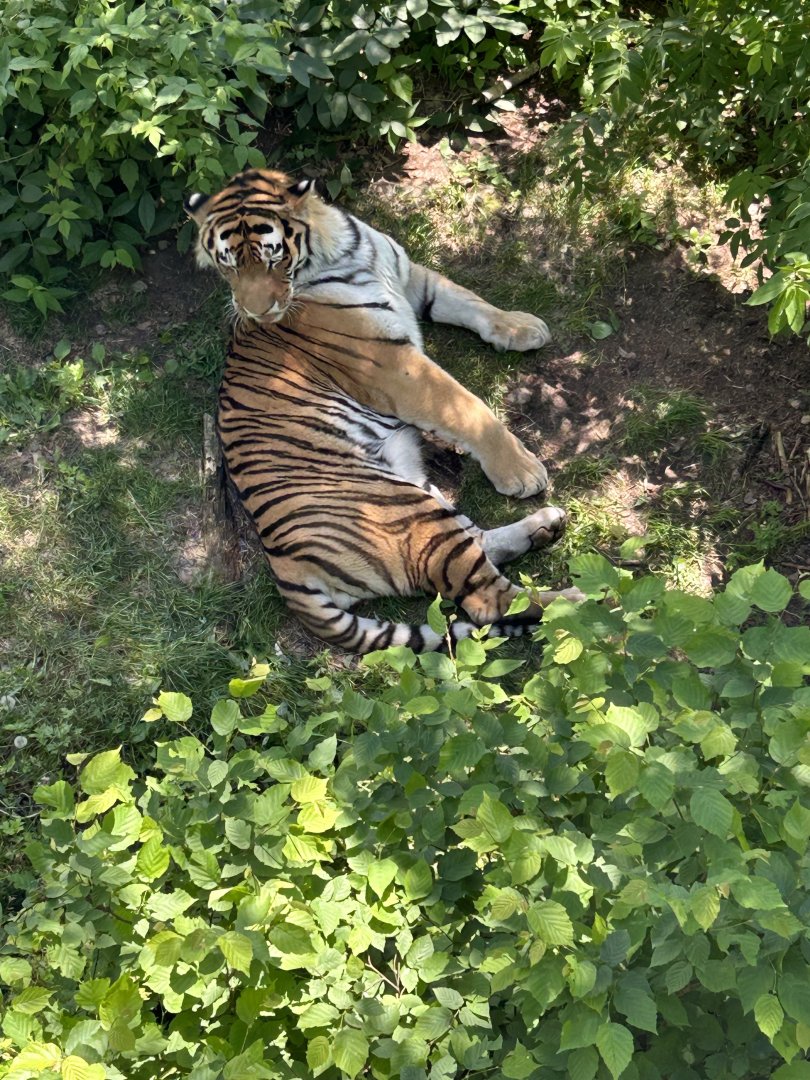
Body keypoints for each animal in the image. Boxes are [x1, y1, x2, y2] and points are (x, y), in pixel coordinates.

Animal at [184, 167, 582, 653]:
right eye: (228, 266)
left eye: (272, 259)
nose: (257, 313)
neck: (340, 248)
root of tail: (285, 571)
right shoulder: (392, 365)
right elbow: (466, 406)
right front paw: (520, 471)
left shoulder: (413, 279)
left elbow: (472, 303)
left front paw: (522, 327)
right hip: (404, 512)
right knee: (488, 600)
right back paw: (584, 602)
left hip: (424, 497)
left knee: (479, 545)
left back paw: (546, 527)